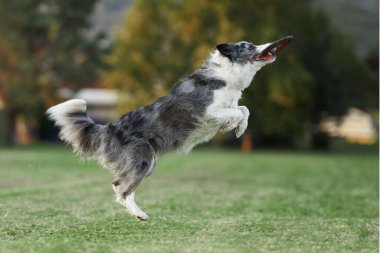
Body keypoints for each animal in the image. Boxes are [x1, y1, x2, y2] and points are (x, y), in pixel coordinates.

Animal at [46, 36, 294, 220]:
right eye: (248, 46)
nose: (271, 45)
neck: (228, 73)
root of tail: (110, 128)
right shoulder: (206, 111)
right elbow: (236, 111)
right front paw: (232, 125)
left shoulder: (229, 105)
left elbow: (244, 109)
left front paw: (239, 129)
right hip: (144, 158)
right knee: (121, 187)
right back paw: (139, 214)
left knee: (119, 185)